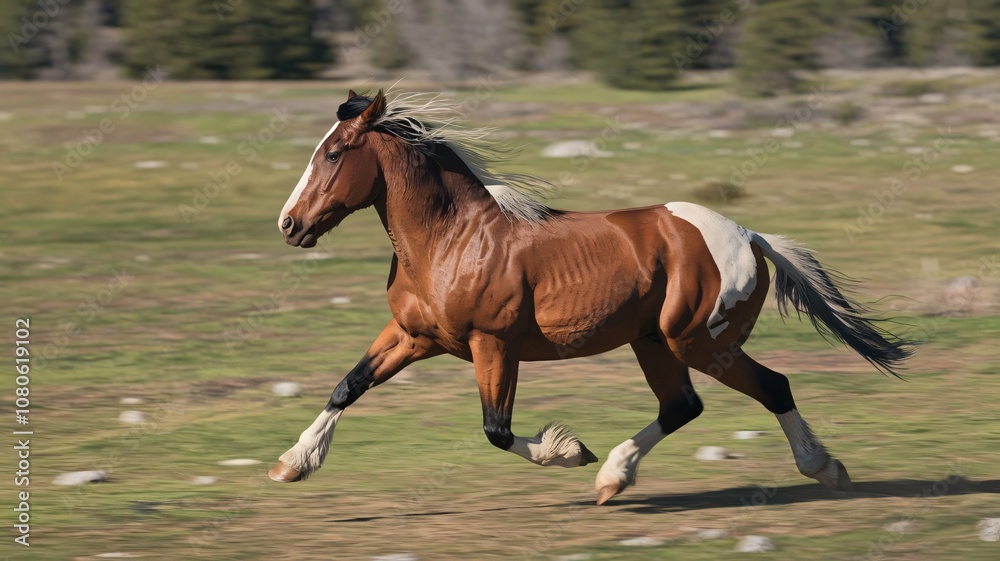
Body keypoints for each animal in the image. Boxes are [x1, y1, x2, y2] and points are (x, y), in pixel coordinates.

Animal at [268, 89, 913, 505]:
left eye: (332, 154)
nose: (288, 224)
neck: (453, 240)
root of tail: (750, 236)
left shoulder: (492, 344)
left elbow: (497, 428)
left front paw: (569, 450)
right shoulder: (414, 336)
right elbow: (348, 385)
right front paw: (291, 464)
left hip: (699, 341)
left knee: (771, 386)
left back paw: (825, 469)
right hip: (653, 340)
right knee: (682, 406)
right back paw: (614, 479)